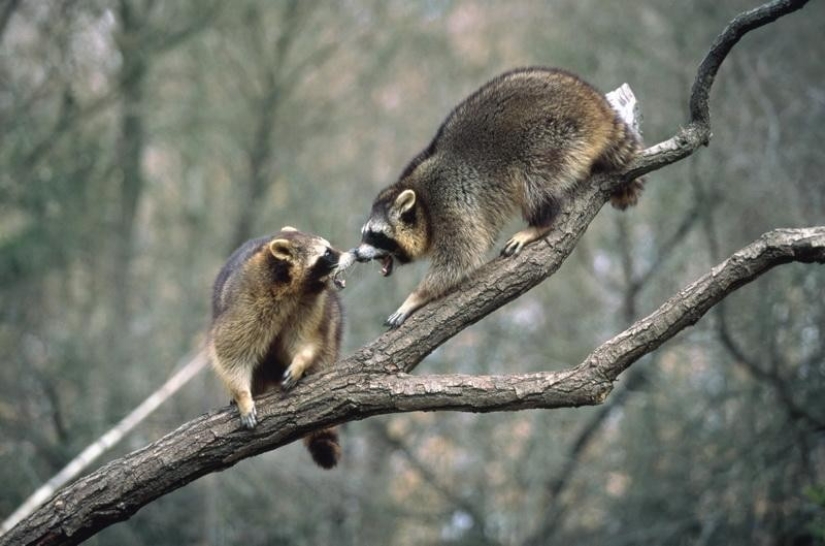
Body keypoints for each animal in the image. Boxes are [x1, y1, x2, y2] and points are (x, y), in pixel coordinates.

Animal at [211, 225, 346, 468]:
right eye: (327, 253)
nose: (354, 253)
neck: (294, 287)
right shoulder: (246, 305)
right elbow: (229, 350)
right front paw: (243, 395)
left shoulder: (311, 305)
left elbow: (305, 340)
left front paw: (300, 361)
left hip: (333, 324)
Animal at [350, 66, 640, 326]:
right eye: (365, 233)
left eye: (376, 235)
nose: (356, 253)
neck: (421, 201)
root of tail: (595, 105)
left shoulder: (450, 206)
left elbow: (459, 259)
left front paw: (415, 297)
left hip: (553, 135)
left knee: (534, 178)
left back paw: (540, 223)